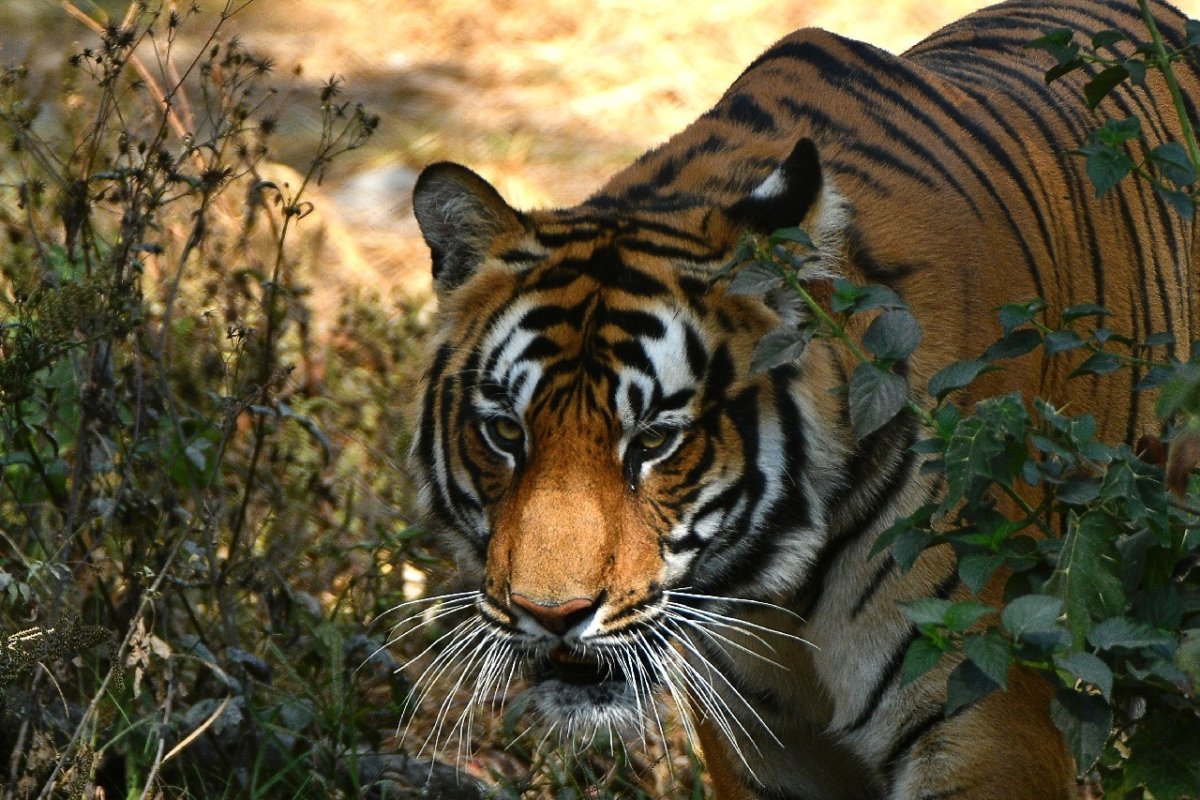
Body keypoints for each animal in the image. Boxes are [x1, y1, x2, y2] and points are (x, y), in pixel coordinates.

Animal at [405, 0, 1199, 797]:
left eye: (655, 440)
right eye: (506, 434)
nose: (552, 615)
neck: (778, 592)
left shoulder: (986, 717)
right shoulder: (760, 738)